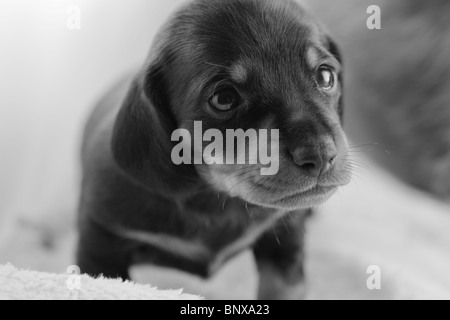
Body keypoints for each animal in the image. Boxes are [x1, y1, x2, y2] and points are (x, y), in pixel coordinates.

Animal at [77, 0, 352, 300]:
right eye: (224, 98)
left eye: (325, 75)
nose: (321, 155)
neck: (215, 199)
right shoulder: (101, 244)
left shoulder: (285, 237)